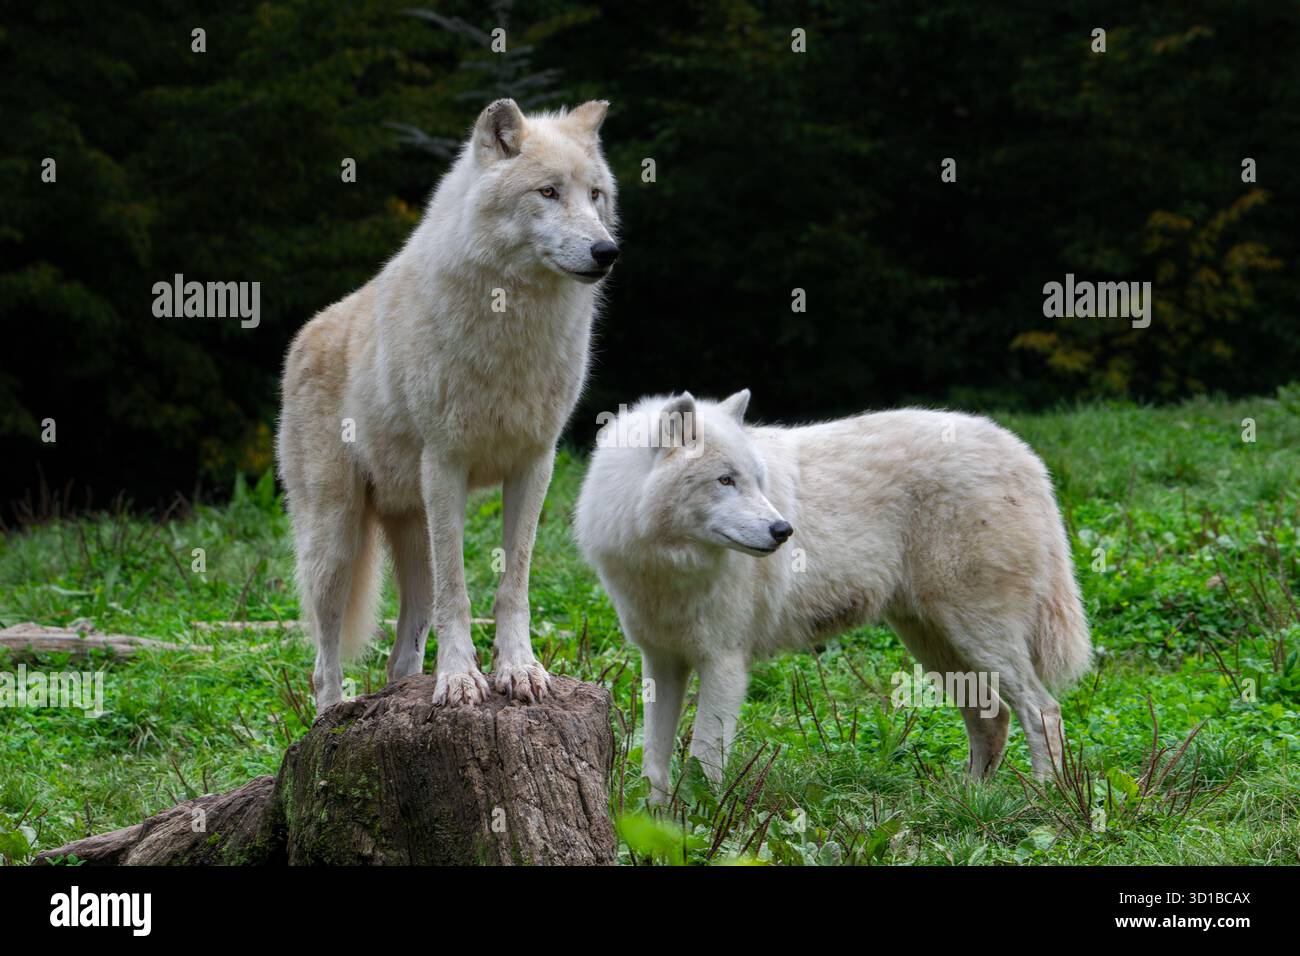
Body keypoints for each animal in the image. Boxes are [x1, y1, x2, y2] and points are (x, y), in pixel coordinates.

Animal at [277, 98, 619, 713]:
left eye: (596, 194)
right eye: (548, 192)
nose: (607, 251)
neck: (513, 321)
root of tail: (305, 335)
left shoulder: (536, 464)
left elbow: (514, 585)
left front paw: (520, 670)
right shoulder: (445, 465)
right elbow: (457, 594)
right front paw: (461, 680)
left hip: (410, 532)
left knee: (400, 652)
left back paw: (402, 688)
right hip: (336, 540)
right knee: (324, 658)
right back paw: (332, 718)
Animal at [575, 391, 1091, 800]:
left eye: (757, 480)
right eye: (725, 480)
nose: (783, 531)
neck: (668, 565)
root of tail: (1024, 454)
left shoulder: (724, 663)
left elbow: (704, 761)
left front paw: (702, 822)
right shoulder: (661, 661)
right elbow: (655, 764)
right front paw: (656, 824)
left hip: (976, 637)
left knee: (1042, 709)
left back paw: (1043, 800)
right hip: (937, 646)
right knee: (993, 717)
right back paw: (971, 799)